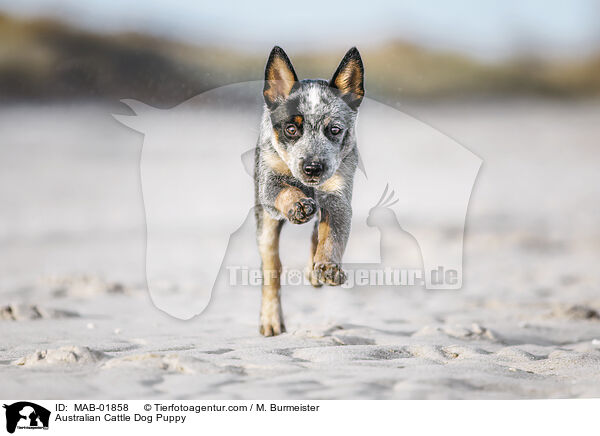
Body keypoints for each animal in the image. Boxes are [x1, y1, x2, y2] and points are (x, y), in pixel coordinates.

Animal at [254, 46, 366, 336]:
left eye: (335, 129)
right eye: (291, 129)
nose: (313, 167)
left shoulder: (338, 197)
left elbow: (331, 237)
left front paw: (327, 267)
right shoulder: (268, 185)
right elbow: (284, 191)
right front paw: (298, 205)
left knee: (317, 232)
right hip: (265, 227)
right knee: (272, 268)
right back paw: (270, 320)